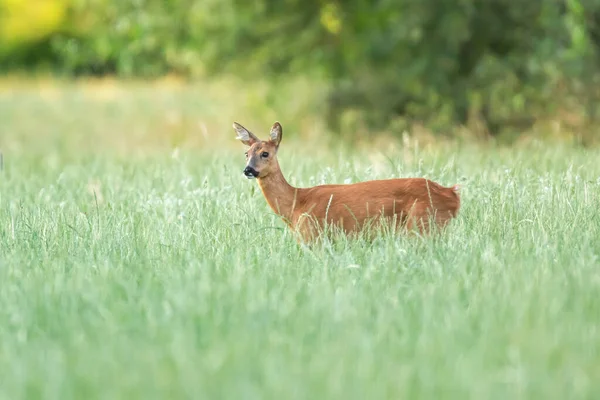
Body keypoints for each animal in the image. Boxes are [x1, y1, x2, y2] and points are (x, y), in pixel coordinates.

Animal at [232, 120, 462, 242]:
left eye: (265, 153)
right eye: (246, 153)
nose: (248, 170)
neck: (296, 204)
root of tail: (453, 195)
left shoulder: (314, 236)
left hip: (422, 225)